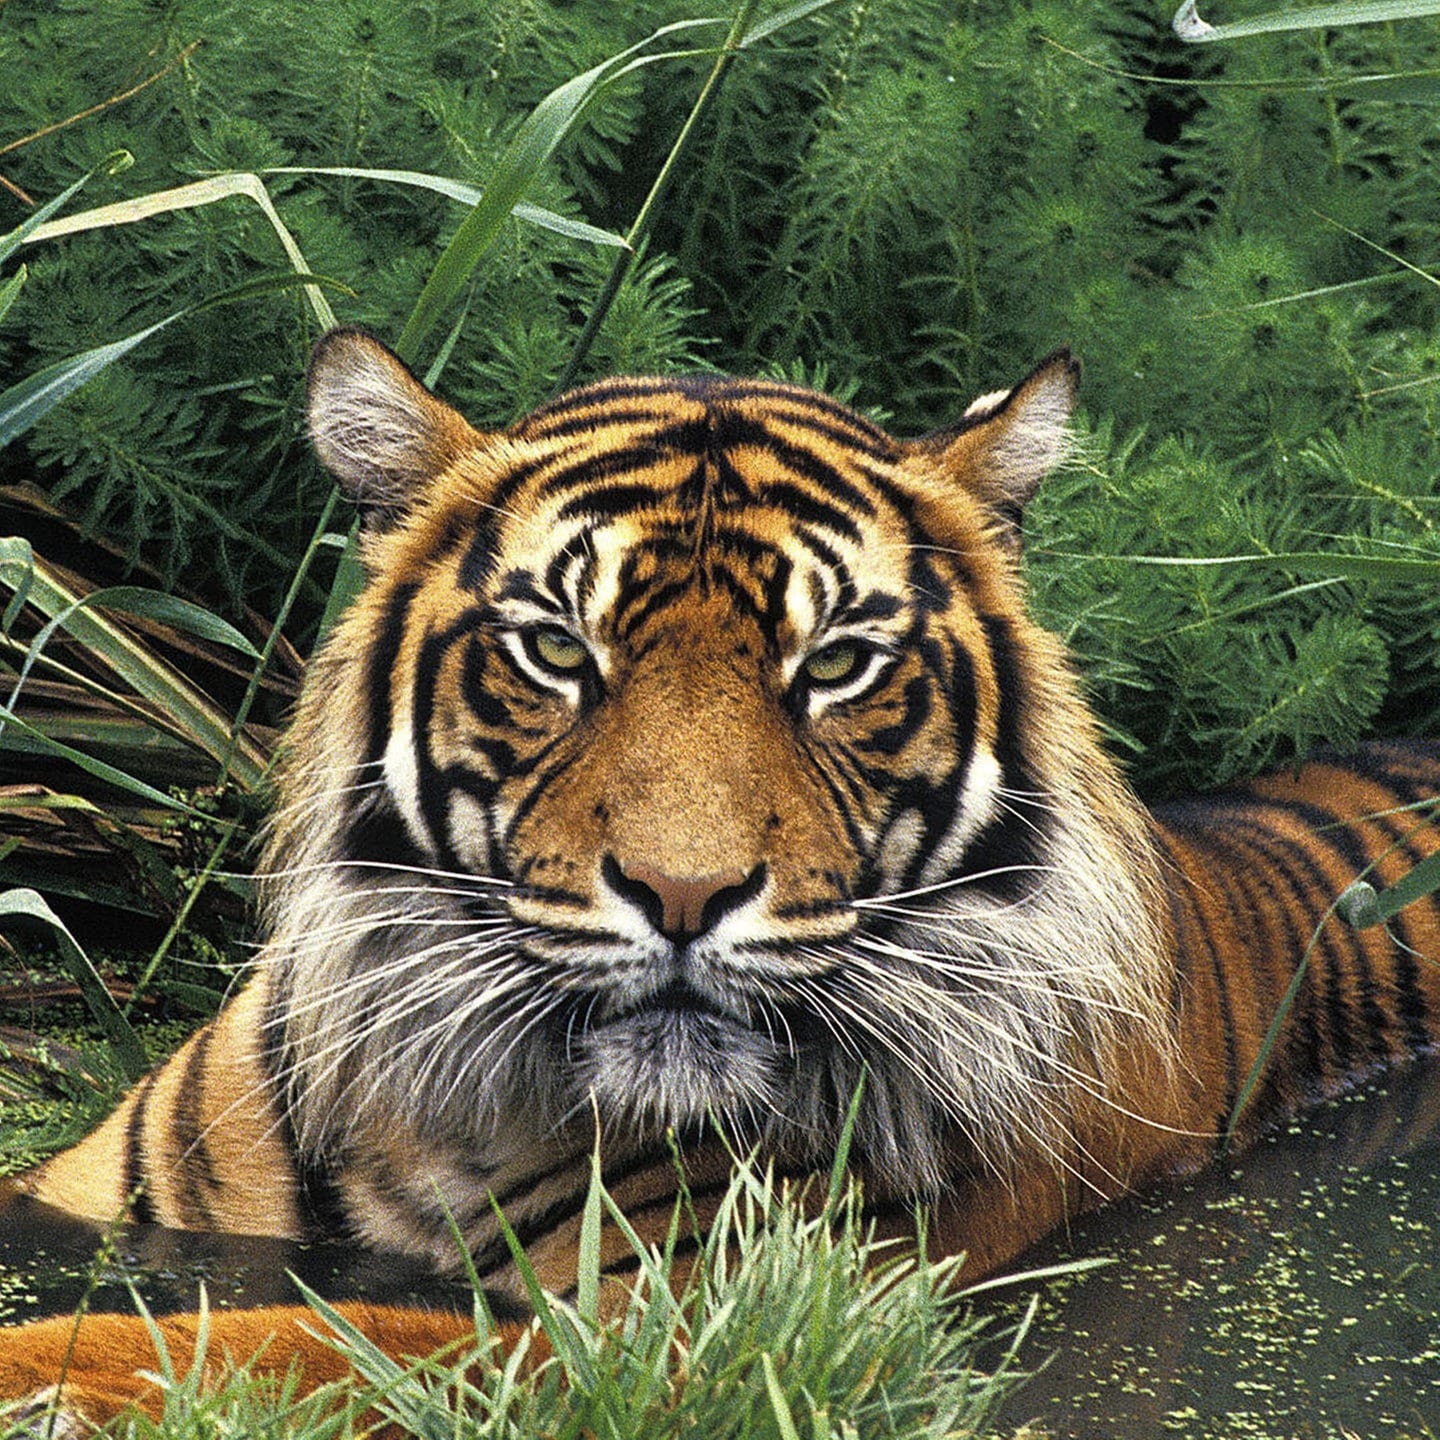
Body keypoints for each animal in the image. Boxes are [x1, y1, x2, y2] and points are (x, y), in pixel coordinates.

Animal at [1, 328, 1437, 1425]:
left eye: (837, 663)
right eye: (556, 649)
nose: (684, 895)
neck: (446, 1120)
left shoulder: (691, 1332)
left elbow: (291, 1341)